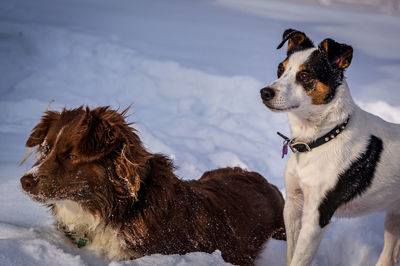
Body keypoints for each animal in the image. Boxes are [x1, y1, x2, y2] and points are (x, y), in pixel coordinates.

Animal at [260, 28, 400, 264]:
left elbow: (299, 259)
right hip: (394, 217)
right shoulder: (293, 205)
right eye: (280, 69)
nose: (265, 92)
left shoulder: (316, 218)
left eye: (305, 75)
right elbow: (291, 254)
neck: (321, 137)